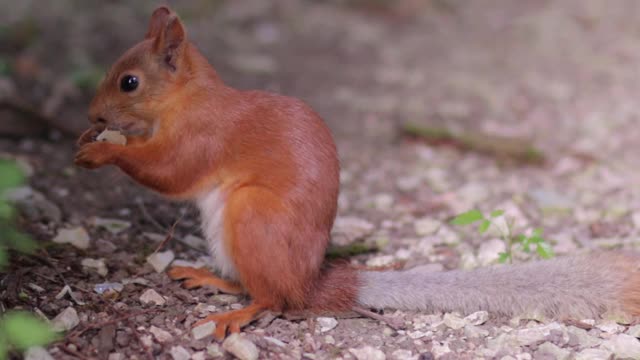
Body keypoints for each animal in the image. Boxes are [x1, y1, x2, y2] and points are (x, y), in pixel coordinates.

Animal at [76, 7, 640, 342]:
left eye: (129, 82)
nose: (92, 115)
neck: (188, 100)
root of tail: (313, 281)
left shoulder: (204, 138)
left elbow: (170, 172)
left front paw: (101, 152)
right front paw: (90, 141)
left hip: (251, 215)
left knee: (273, 298)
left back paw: (233, 315)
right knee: (248, 284)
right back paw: (207, 276)